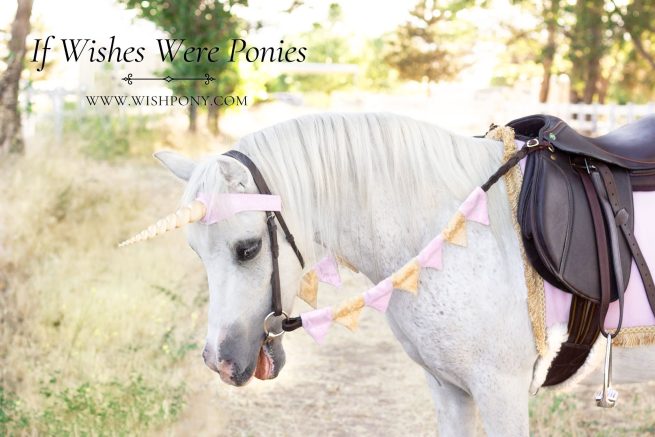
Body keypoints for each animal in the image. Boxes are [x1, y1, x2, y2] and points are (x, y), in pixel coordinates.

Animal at [126, 112, 655, 436]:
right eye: (195, 252)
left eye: (248, 248)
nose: (218, 361)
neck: (472, 229)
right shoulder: (449, 390)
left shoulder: (500, 392)